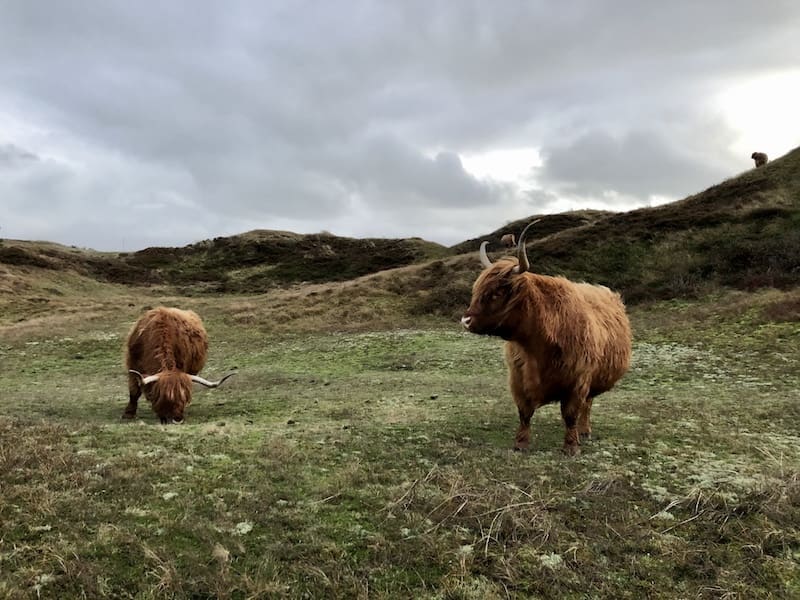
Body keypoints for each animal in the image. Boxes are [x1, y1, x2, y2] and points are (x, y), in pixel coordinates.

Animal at [462, 223, 632, 458]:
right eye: (477, 290)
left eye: (497, 292)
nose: (465, 320)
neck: (537, 346)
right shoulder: (518, 377)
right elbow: (524, 412)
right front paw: (521, 443)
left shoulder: (578, 379)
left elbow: (570, 414)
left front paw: (571, 447)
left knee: (587, 405)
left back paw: (584, 430)